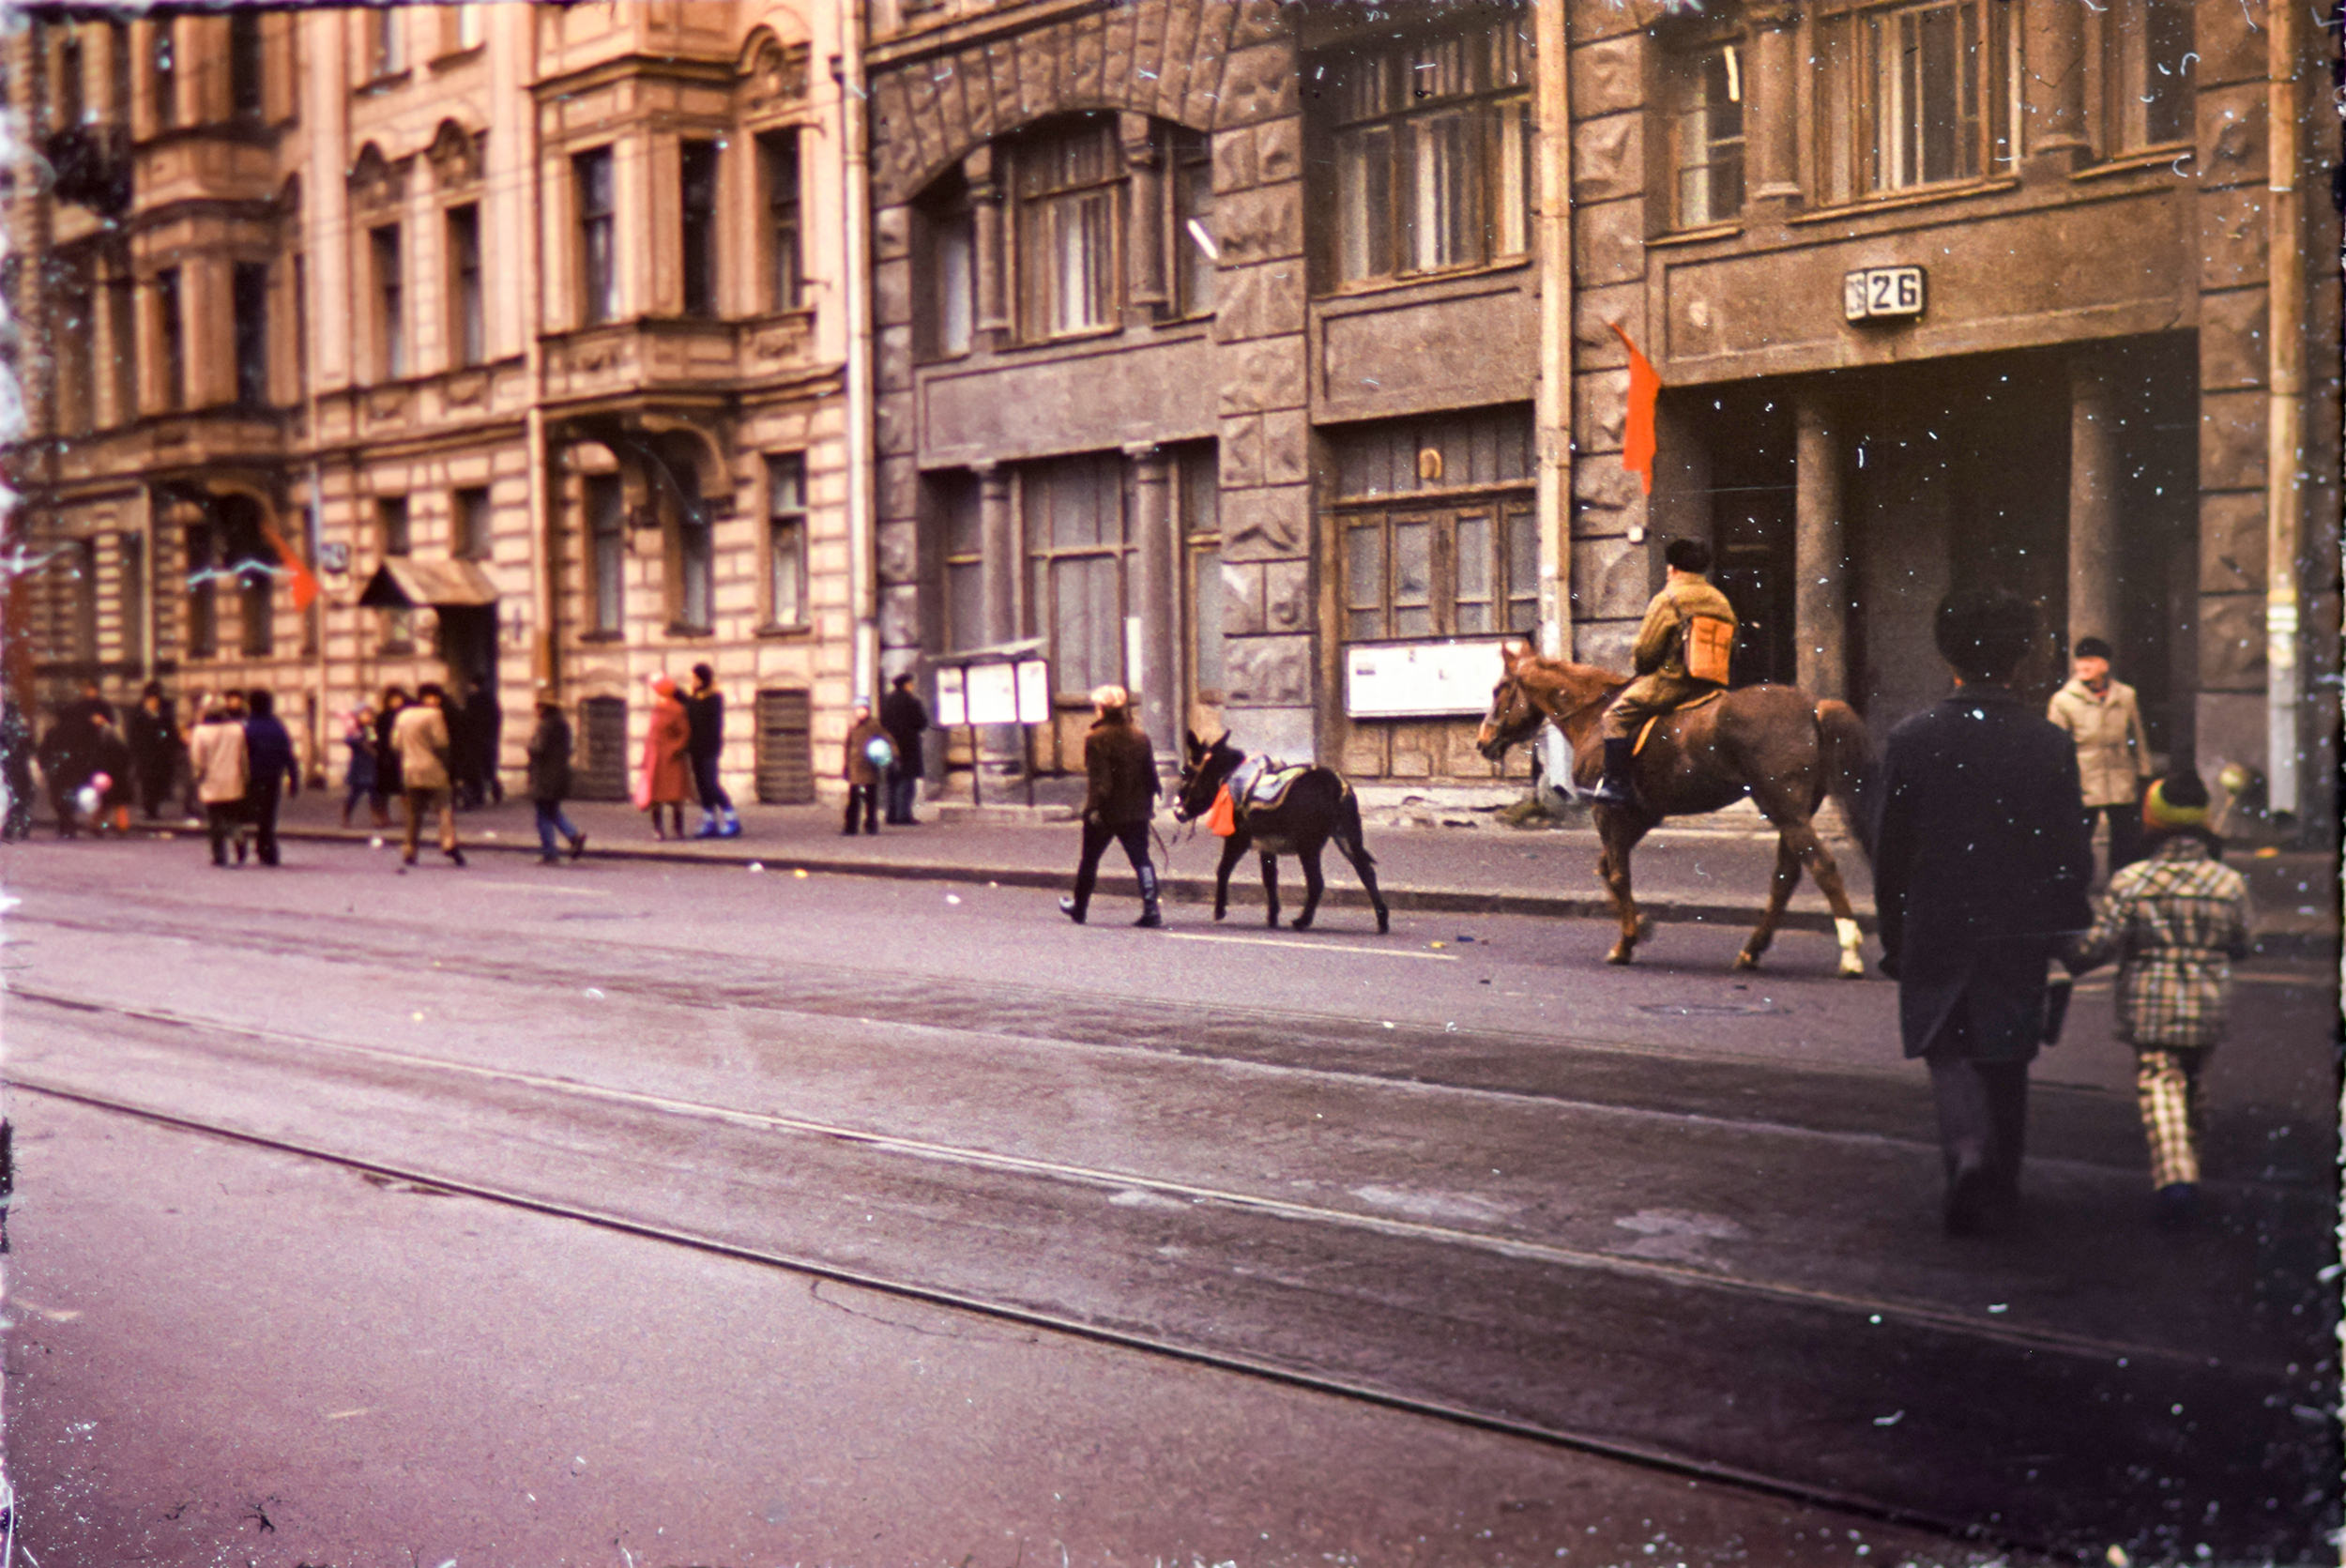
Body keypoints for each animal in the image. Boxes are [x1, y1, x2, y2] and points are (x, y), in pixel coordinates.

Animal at [1172, 731, 1391, 935]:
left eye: (1185, 772)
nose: (1177, 812)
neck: (1230, 779)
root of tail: (1336, 786)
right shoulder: (1267, 845)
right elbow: (1269, 878)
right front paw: (1272, 917)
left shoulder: (1238, 839)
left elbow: (1223, 869)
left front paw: (1219, 911)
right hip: (1348, 837)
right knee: (1366, 873)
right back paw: (1382, 922)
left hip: (1309, 846)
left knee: (1317, 882)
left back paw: (1301, 922)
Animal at [1476, 644, 1873, 976]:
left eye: (1499, 689)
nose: (1483, 742)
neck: (1595, 715)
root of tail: (1814, 705)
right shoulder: (1641, 814)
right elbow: (1607, 869)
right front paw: (1639, 924)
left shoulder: (1608, 812)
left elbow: (1617, 874)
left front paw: (1626, 942)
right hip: (1790, 811)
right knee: (1785, 877)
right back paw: (1752, 951)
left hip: (1783, 808)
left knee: (1821, 866)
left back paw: (1850, 953)